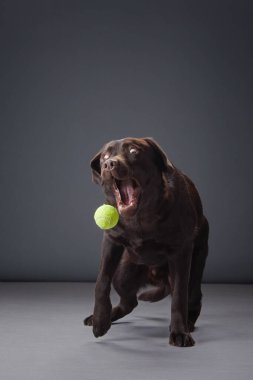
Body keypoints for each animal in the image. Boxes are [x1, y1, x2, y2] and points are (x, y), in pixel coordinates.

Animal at [84, 137, 209, 348]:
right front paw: (100, 320)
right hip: (123, 273)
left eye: (134, 151)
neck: (141, 218)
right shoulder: (111, 241)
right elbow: (101, 281)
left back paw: (189, 322)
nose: (110, 164)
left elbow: (179, 297)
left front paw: (179, 331)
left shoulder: (182, 251)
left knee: (193, 296)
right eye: (105, 157)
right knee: (129, 302)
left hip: (195, 267)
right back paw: (107, 316)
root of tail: (156, 276)